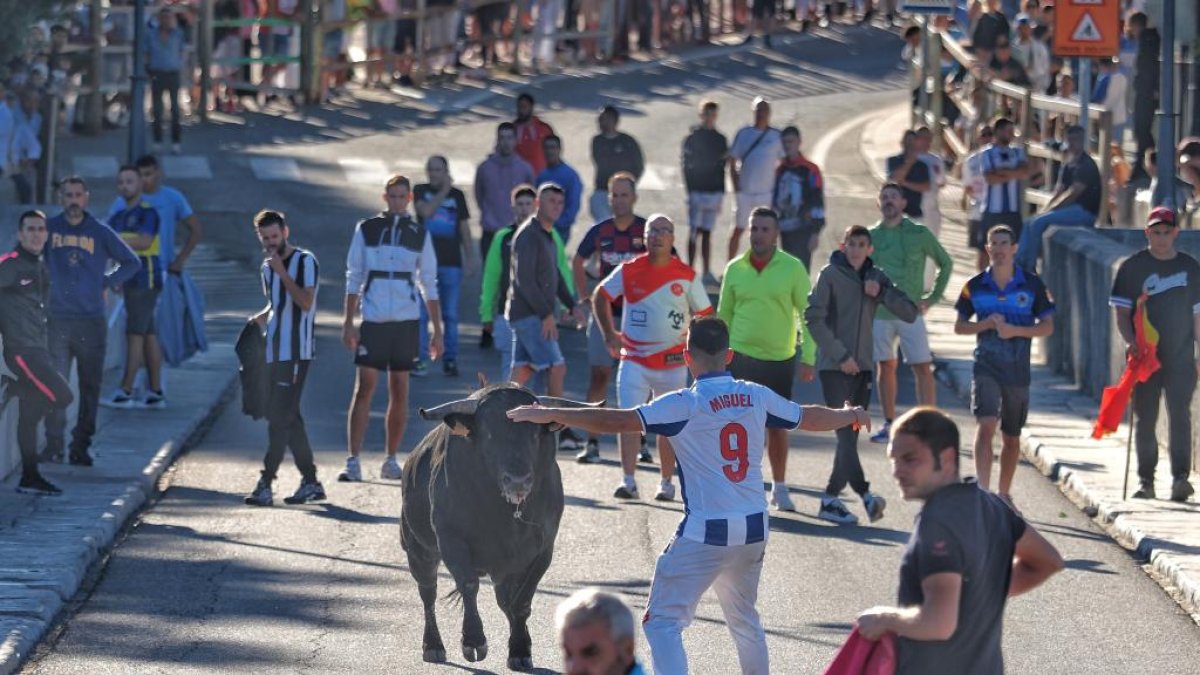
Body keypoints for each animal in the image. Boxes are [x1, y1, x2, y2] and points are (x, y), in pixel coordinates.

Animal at [400, 384, 592, 667]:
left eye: (536, 433)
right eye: (489, 434)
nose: (518, 480)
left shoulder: (542, 549)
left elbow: (521, 601)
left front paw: (520, 650)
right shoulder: (451, 540)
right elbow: (469, 585)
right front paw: (473, 641)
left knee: (505, 600)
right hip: (418, 550)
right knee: (428, 593)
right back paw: (433, 646)